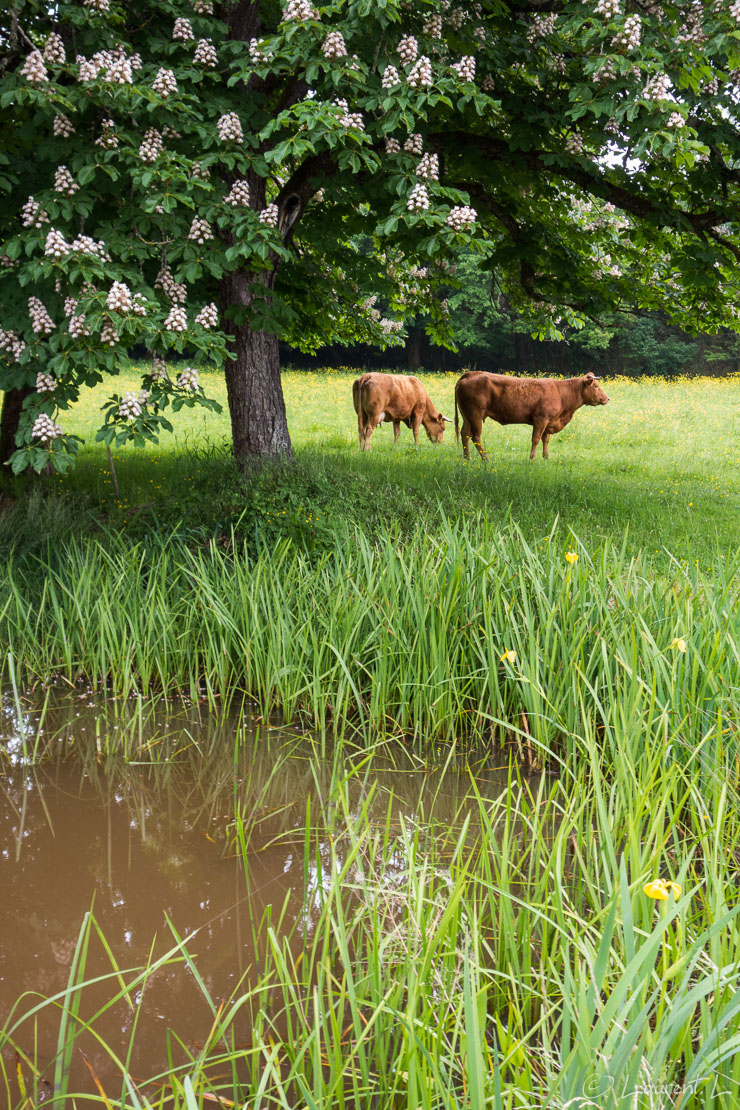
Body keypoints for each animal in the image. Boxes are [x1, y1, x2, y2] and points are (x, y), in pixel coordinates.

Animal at [454, 372, 612, 459]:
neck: (560, 393)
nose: (607, 399)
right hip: (476, 414)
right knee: (476, 436)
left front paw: (546, 457)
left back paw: (467, 458)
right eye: (596, 386)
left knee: (464, 434)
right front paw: (532, 458)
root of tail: (471, 373)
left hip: (467, 415)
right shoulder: (541, 419)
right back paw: (486, 459)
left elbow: (546, 439)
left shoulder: (548, 421)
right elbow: (535, 439)